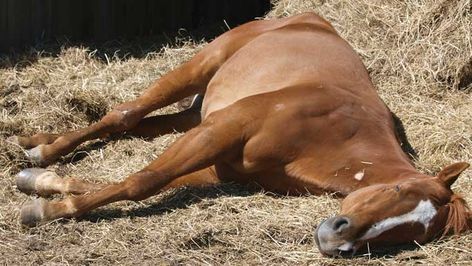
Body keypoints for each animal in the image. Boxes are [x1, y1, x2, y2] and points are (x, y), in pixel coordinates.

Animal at [7, 13, 468, 258]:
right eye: (397, 190)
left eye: (412, 234)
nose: (338, 238)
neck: (336, 132)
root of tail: (307, 18)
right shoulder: (220, 132)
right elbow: (143, 182)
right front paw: (45, 210)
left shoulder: (222, 167)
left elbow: (122, 182)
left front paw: (42, 189)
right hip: (201, 67)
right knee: (124, 115)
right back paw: (42, 149)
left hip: (194, 116)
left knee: (142, 125)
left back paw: (35, 145)